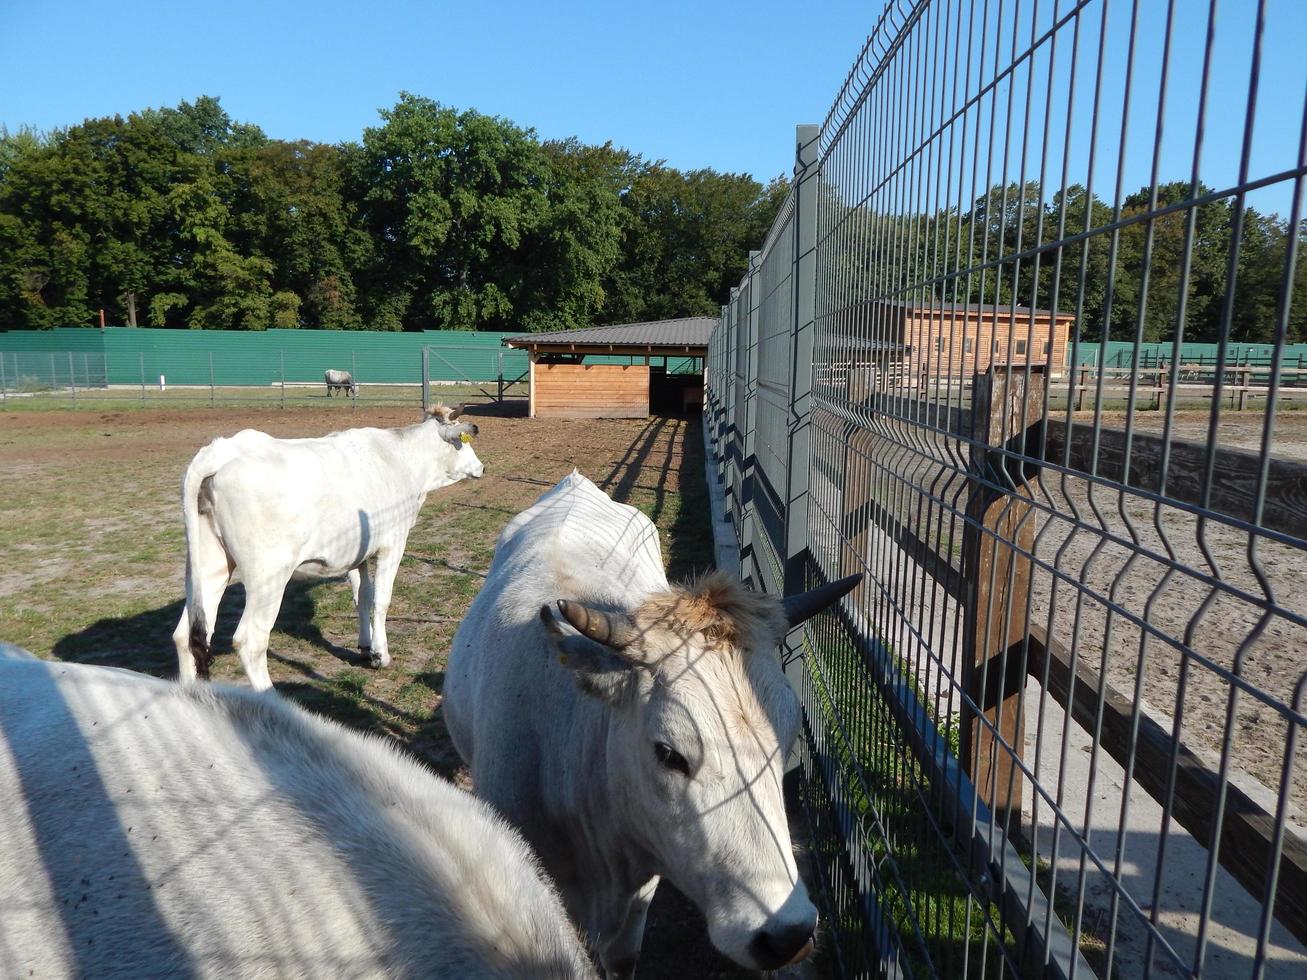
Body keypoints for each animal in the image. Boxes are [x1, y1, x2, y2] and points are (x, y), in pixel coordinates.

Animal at [171, 405, 483, 689]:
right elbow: (381, 599)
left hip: (211, 564)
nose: (481, 467)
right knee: (250, 640)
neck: (401, 460)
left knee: (184, 635)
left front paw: (365, 647)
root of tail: (222, 451)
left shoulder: (357, 551)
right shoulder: (392, 544)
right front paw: (381, 655)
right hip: (267, 574)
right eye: (463, 442)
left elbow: (362, 596)